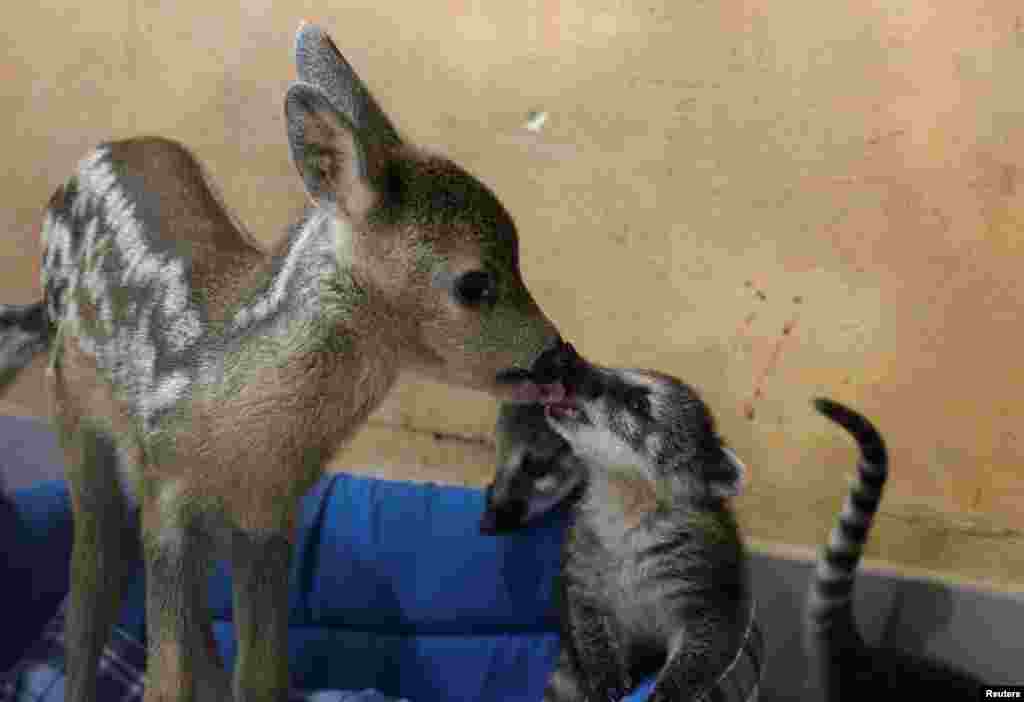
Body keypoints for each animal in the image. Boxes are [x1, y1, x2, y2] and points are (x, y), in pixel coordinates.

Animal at [0, 22, 575, 702]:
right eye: (474, 283)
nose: (559, 356)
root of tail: (100, 152)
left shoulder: (268, 518)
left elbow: (262, 675)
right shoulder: (167, 497)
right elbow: (166, 677)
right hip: (74, 413)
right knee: (90, 584)